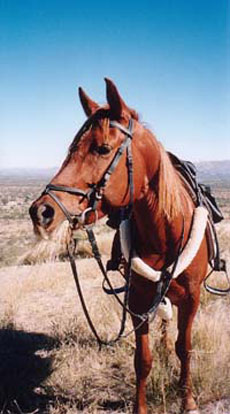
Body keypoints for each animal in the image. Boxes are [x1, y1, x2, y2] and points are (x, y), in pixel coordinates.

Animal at [29, 78, 211, 414]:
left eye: (102, 148)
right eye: (70, 150)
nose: (42, 211)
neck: (163, 234)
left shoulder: (192, 299)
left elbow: (185, 347)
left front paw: (188, 398)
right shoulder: (137, 301)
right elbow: (143, 360)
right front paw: (141, 406)